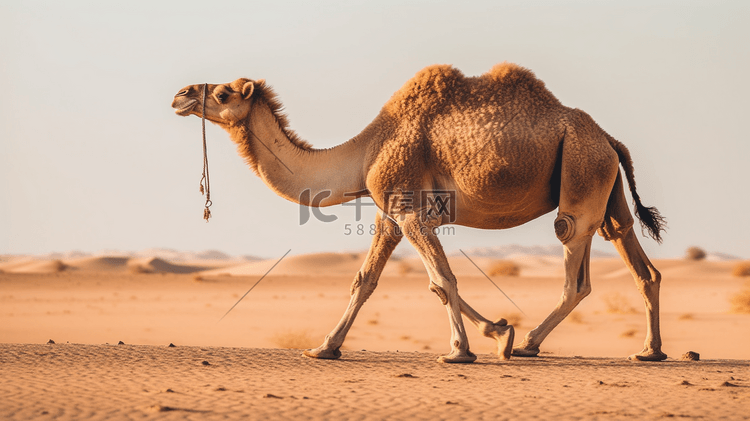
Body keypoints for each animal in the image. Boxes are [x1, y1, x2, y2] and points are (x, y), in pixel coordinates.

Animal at [172, 61, 668, 360]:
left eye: (222, 93)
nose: (180, 94)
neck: (364, 152)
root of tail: (609, 138)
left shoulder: (410, 210)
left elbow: (442, 280)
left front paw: (463, 349)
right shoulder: (389, 215)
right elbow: (368, 280)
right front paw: (325, 347)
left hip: (582, 175)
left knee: (574, 264)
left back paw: (529, 343)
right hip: (604, 186)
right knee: (637, 259)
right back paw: (649, 351)